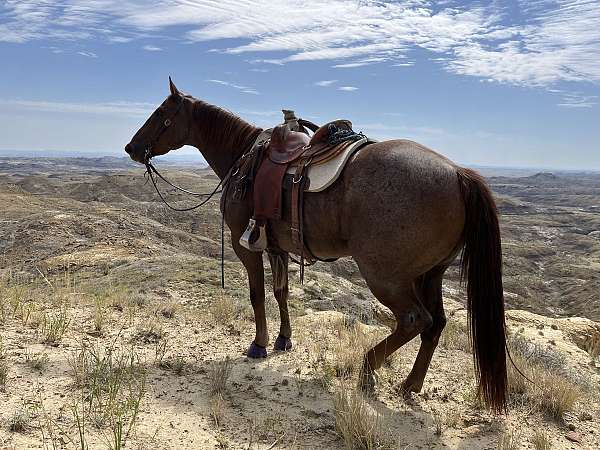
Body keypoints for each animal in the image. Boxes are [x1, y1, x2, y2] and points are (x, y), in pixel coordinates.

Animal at [124, 77, 508, 412]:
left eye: (160, 112)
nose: (131, 147)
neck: (243, 157)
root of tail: (457, 173)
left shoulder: (245, 244)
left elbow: (257, 294)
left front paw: (259, 344)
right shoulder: (276, 247)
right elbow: (281, 293)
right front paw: (283, 340)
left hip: (386, 275)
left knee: (415, 320)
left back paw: (367, 369)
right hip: (430, 273)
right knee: (437, 323)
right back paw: (410, 384)